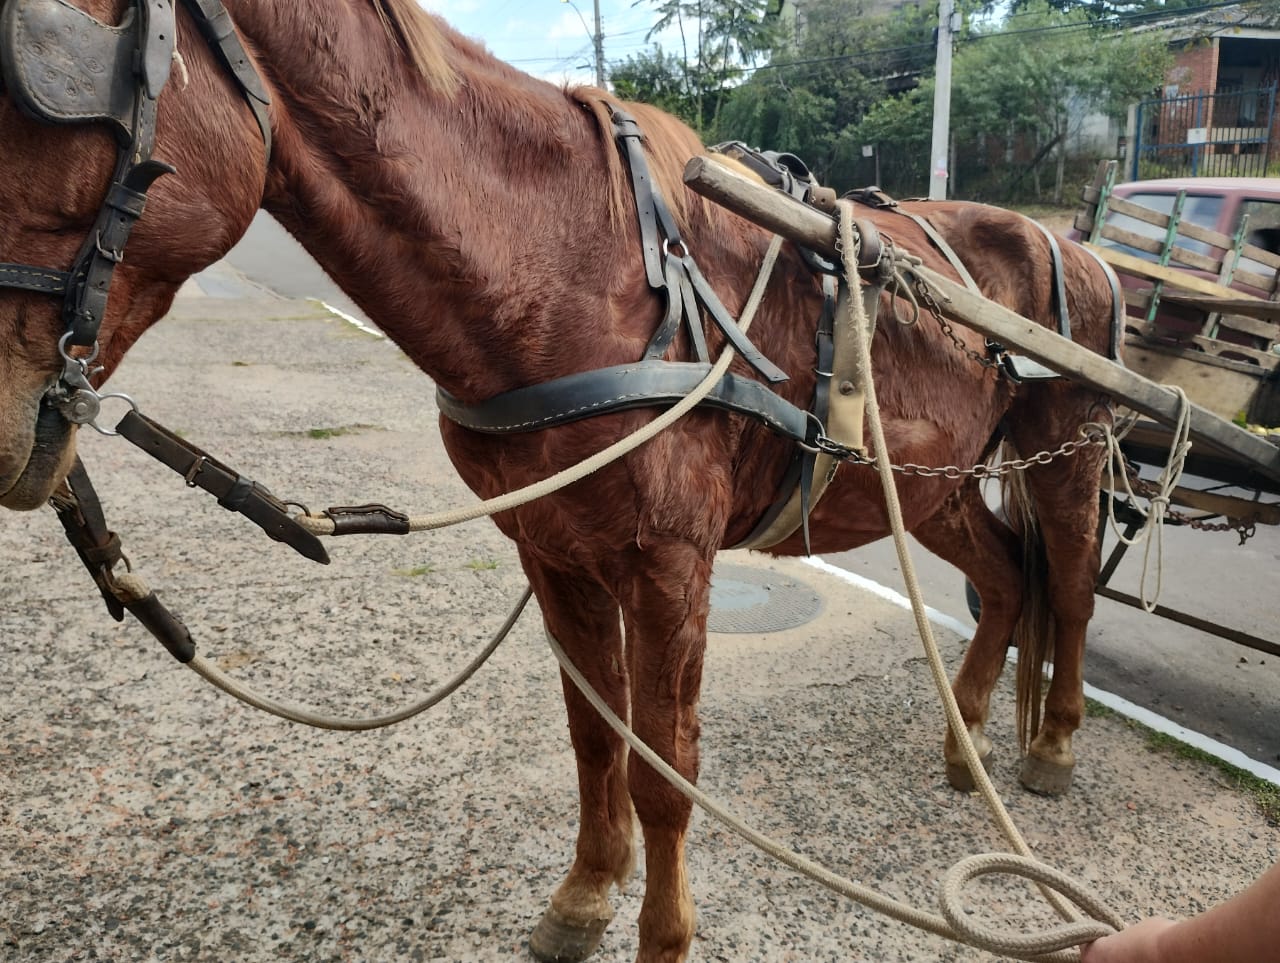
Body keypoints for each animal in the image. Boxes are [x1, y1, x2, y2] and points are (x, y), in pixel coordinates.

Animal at [0, 3, 1121, 957]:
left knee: (1065, 586)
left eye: (52, 93)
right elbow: (595, 740)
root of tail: (1075, 247)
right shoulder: (555, 551)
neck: (571, 267)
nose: (10, 425)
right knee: (1006, 579)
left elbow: (666, 770)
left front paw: (662, 937)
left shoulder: (669, 565)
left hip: (1067, 458)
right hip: (934, 481)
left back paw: (1055, 744)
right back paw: (965, 740)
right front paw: (584, 895)